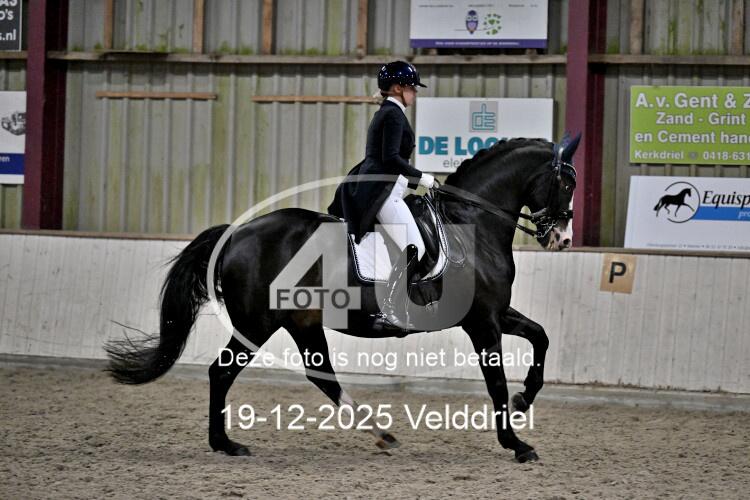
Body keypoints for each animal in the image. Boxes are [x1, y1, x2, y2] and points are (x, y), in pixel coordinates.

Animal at [105, 135, 580, 463]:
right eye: (566, 183)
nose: (562, 239)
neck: (473, 224)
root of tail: (237, 234)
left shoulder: (495, 313)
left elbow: (541, 337)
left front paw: (524, 401)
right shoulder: (482, 321)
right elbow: (496, 383)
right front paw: (516, 443)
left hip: (297, 323)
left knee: (313, 376)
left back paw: (374, 434)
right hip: (261, 322)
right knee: (228, 373)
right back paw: (232, 443)